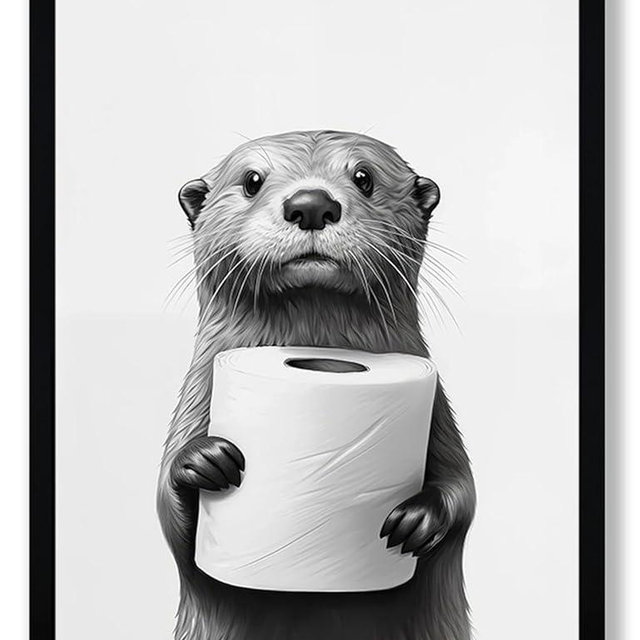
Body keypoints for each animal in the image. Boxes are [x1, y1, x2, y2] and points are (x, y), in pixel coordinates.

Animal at [157, 130, 475, 640]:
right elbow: (170, 518)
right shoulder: (194, 400)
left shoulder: (439, 415)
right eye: (252, 180)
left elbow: (464, 493)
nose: (310, 204)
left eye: (364, 177)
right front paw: (203, 461)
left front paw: (419, 519)